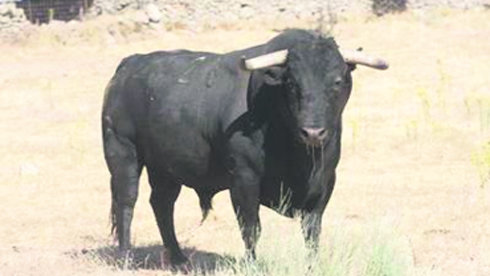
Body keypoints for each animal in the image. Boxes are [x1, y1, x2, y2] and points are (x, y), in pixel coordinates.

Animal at [102, 28, 386, 266]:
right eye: (292, 83)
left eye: (337, 81)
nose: (313, 132)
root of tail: (129, 64)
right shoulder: (244, 178)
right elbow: (251, 227)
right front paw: (252, 265)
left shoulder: (325, 182)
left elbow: (312, 231)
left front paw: (312, 266)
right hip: (123, 153)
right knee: (126, 202)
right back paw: (126, 257)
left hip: (166, 167)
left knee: (162, 204)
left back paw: (179, 258)